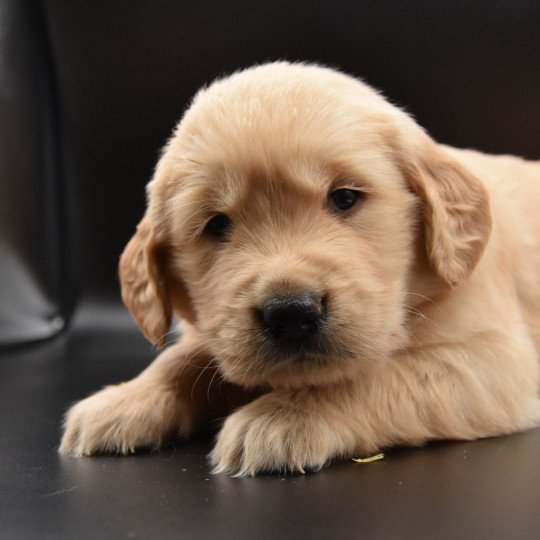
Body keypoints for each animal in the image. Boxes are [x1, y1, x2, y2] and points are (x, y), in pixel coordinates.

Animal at [59, 63, 540, 474]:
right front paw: (125, 400)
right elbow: (180, 360)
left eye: (344, 197)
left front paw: (283, 415)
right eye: (217, 224)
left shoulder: (496, 360)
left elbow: (375, 375)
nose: (291, 313)